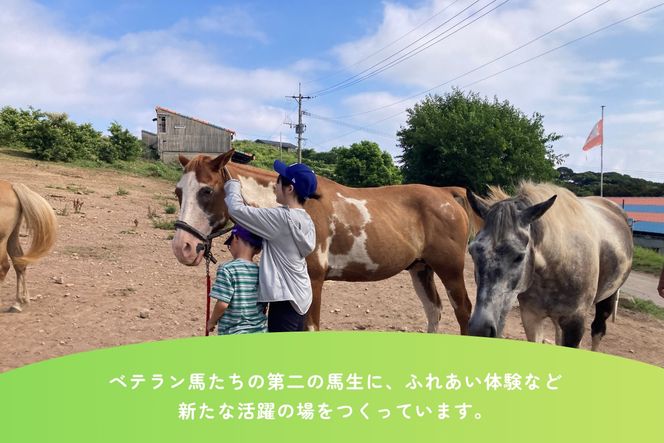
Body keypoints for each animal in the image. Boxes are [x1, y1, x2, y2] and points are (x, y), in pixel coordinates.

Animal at [0, 180, 57, 312]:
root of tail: (12, 186)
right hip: (12, 235)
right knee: (19, 263)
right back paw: (18, 303)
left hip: (2, 239)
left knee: (4, 267)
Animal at [171, 150, 481, 333]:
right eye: (178, 192)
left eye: (207, 191)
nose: (182, 247)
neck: (298, 208)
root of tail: (446, 193)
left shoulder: (313, 282)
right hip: (421, 269)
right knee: (434, 311)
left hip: (450, 270)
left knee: (463, 311)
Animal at [465, 182, 633, 350]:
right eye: (472, 251)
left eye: (519, 257)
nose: (480, 330)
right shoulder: (531, 317)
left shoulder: (575, 323)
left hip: (608, 298)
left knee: (598, 330)